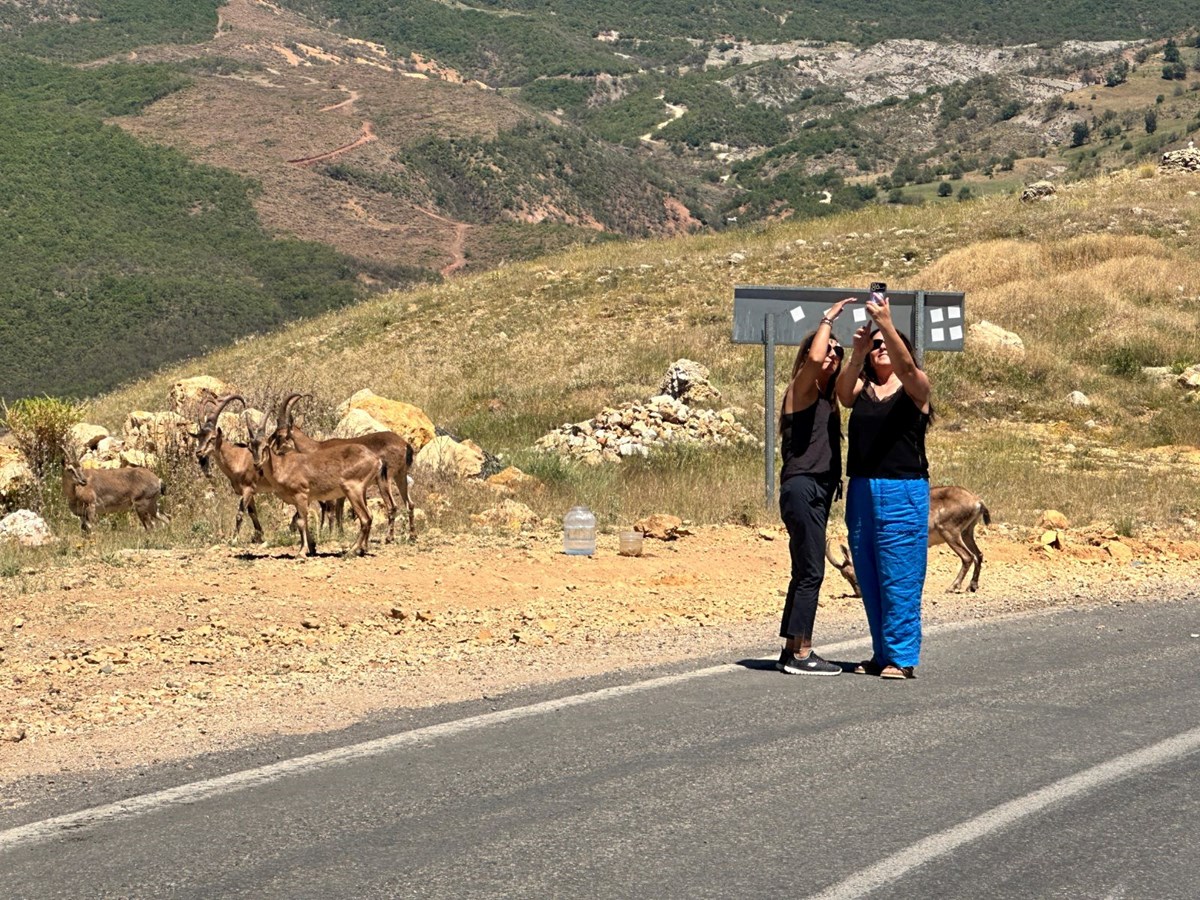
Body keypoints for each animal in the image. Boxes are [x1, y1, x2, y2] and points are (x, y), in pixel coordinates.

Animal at [244, 396, 388, 556]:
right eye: (250, 447)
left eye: (265, 446)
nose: (257, 464)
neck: (282, 467)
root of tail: (376, 460)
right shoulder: (304, 500)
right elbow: (302, 520)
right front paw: (312, 547)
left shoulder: (301, 495)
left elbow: (301, 521)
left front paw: (302, 551)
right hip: (360, 492)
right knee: (369, 516)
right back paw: (361, 548)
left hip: (352, 491)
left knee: (365, 518)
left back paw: (351, 550)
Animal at [276, 393, 417, 542]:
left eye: (278, 435)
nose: (276, 452)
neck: (316, 447)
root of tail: (405, 445)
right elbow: (340, 510)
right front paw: (340, 533)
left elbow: (332, 511)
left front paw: (332, 534)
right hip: (400, 476)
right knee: (410, 504)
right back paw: (412, 536)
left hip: (385, 478)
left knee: (392, 506)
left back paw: (389, 537)